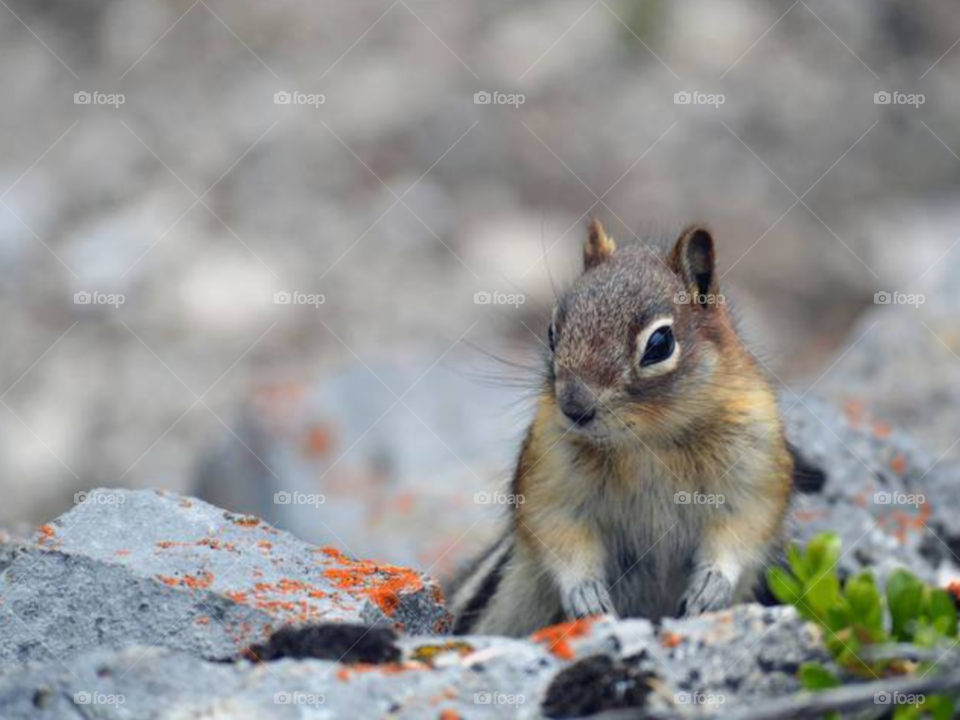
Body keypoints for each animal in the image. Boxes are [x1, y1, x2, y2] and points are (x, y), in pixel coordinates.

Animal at [448, 219, 794, 637]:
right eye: (552, 331)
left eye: (660, 343)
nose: (574, 408)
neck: (648, 440)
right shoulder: (550, 472)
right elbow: (557, 531)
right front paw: (585, 593)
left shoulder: (754, 467)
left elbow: (743, 531)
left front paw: (712, 584)